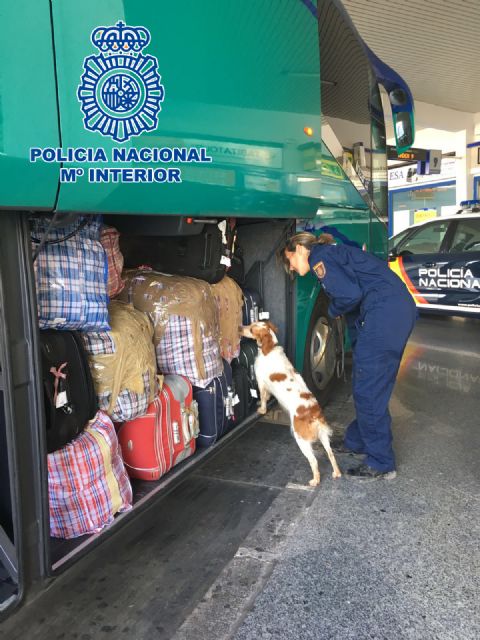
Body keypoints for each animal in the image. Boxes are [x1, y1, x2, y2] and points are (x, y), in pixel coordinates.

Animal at [240, 320, 342, 484]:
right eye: (251, 324)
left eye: (251, 329)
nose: (239, 328)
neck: (270, 348)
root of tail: (314, 415)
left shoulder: (261, 382)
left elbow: (263, 398)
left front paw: (261, 409)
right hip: (324, 437)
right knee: (331, 454)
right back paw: (336, 473)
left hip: (301, 440)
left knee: (314, 461)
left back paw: (315, 481)